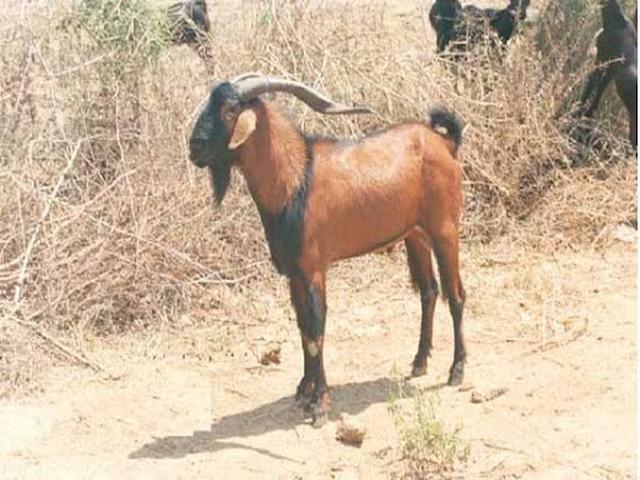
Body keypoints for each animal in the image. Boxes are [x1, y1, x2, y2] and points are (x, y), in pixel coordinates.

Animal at [189, 74, 467, 426]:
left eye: (228, 110)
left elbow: (317, 328)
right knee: (428, 292)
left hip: (445, 229)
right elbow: (303, 329)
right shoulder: (294, 274)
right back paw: (419, 362)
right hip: (414, 235)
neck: (296, 179)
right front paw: (303, 391)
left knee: (456, 295)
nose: (194, 148)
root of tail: (444, 142)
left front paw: (320, 402)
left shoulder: (314, 269)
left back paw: (456, 370)